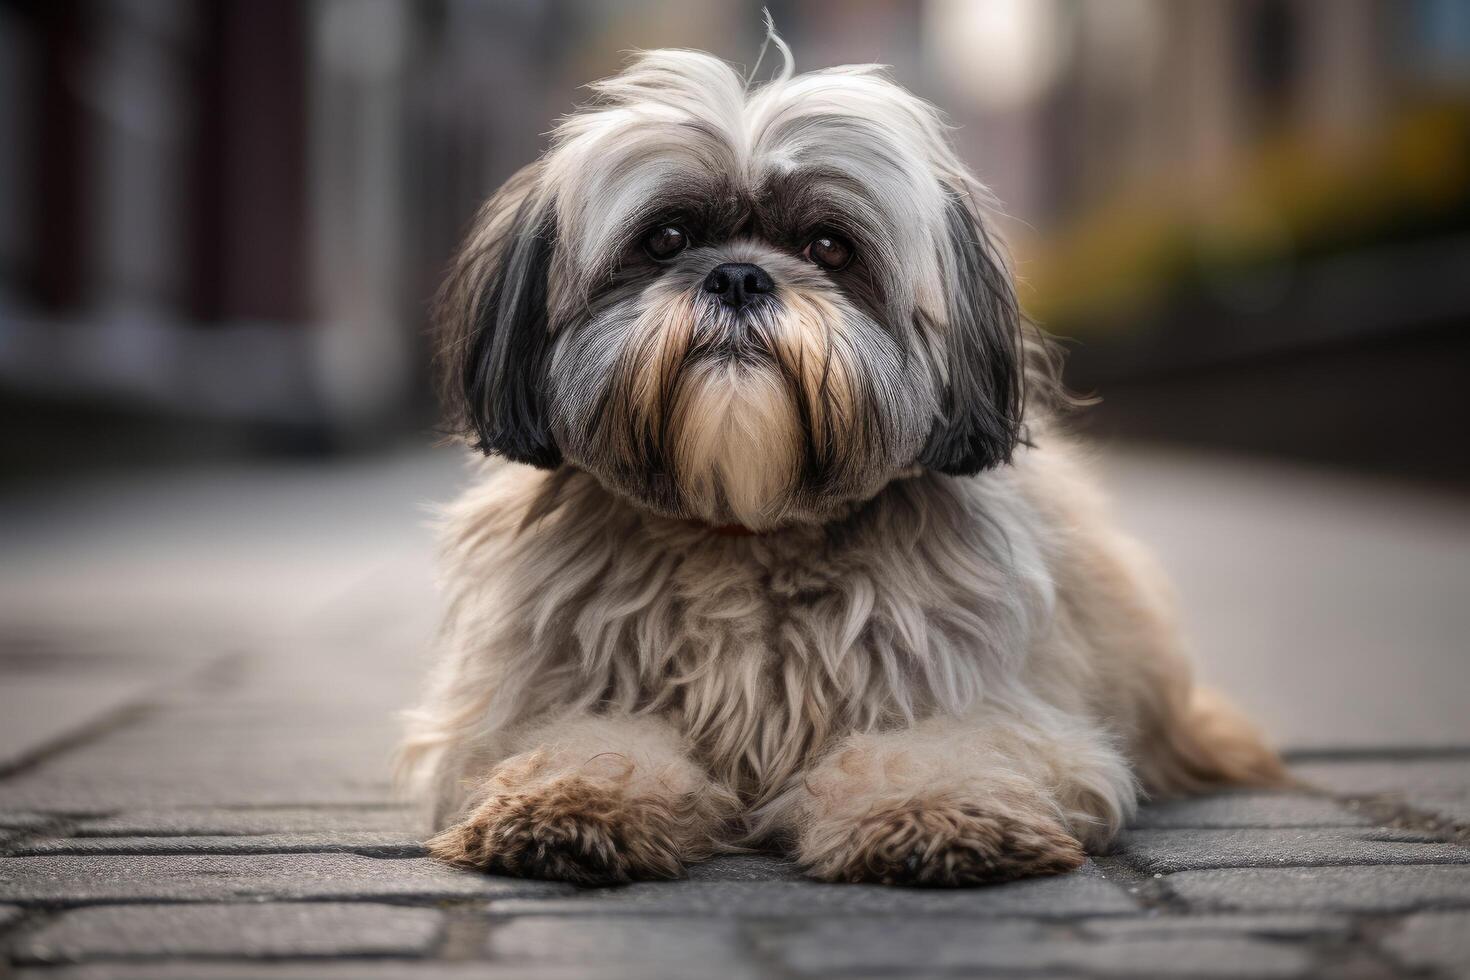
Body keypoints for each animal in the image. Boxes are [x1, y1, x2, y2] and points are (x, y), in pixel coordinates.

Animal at [396, 34, 1281, 887]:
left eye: (828, 246)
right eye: (667, 239)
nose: (739, 276)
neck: (745, 527)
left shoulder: (984, 700)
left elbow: (930, 745)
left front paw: (934, 812)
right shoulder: (519, 708)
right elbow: (589, 736)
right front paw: (573, 802)